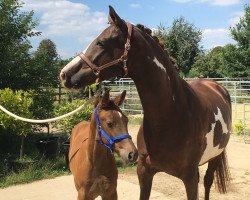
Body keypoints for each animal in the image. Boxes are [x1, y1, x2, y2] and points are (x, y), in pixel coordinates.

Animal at [60, 6, 230, 200]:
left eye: (101, 42)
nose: (65, 74)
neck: (171, 117)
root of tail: (217, 86)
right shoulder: (144, 172)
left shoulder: (191, 178)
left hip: (215, 157)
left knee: (208, 181)